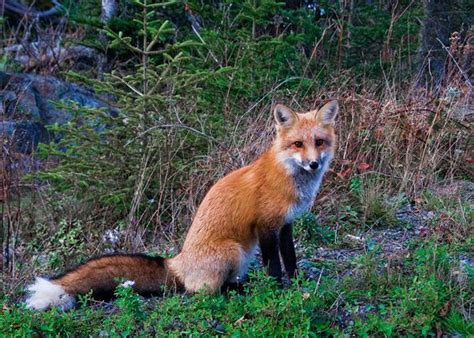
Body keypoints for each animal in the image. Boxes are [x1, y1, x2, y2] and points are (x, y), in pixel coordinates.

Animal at [25, 99, 338, 308]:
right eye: (298, 144)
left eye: (319, 142)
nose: (313, 164)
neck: (288, 176)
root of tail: (177, 262)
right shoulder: (265, 226)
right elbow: (273, 265)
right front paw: (276, 290)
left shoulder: (286, 223)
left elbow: (291, 258)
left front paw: (297, 284)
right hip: (234, 250)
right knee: (201, 291)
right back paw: (239, 290)